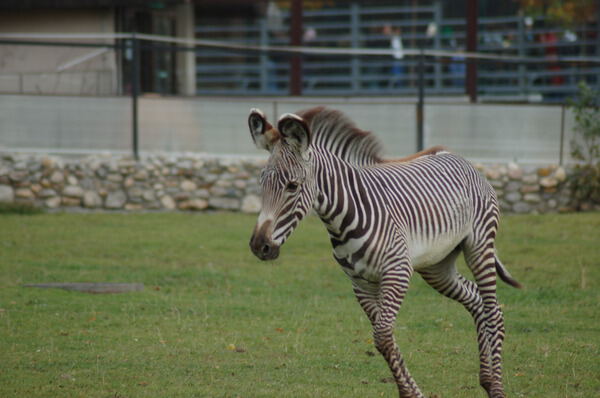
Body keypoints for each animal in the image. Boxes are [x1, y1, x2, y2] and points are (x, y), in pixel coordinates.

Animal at [246, 106, 524, 398]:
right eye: (261, 183)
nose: (259, 245)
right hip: (437, 266)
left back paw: (496, 386)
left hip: (479, 245)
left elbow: (381, 336)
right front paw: (408, 392)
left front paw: (413, 393)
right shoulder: (361, 284)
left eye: (292, 186)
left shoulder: (397, 272)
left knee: (493, 310)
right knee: (476, 300)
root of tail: (456, 156)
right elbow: (384, 338)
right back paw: (486, 380)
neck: (346, 213)